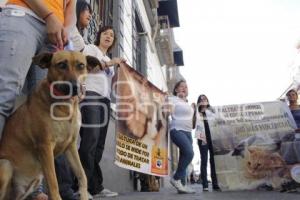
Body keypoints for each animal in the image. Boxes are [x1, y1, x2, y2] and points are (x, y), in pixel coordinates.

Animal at [0, 51, 101, 200]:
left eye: (81, 66)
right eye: (62, 65)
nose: (75, 87)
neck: (65, 106)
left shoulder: (70, 146)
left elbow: (82, 174)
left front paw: (83, 195)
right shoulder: (45, 146)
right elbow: (53, 183)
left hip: (33, 182)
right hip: (6, 164)